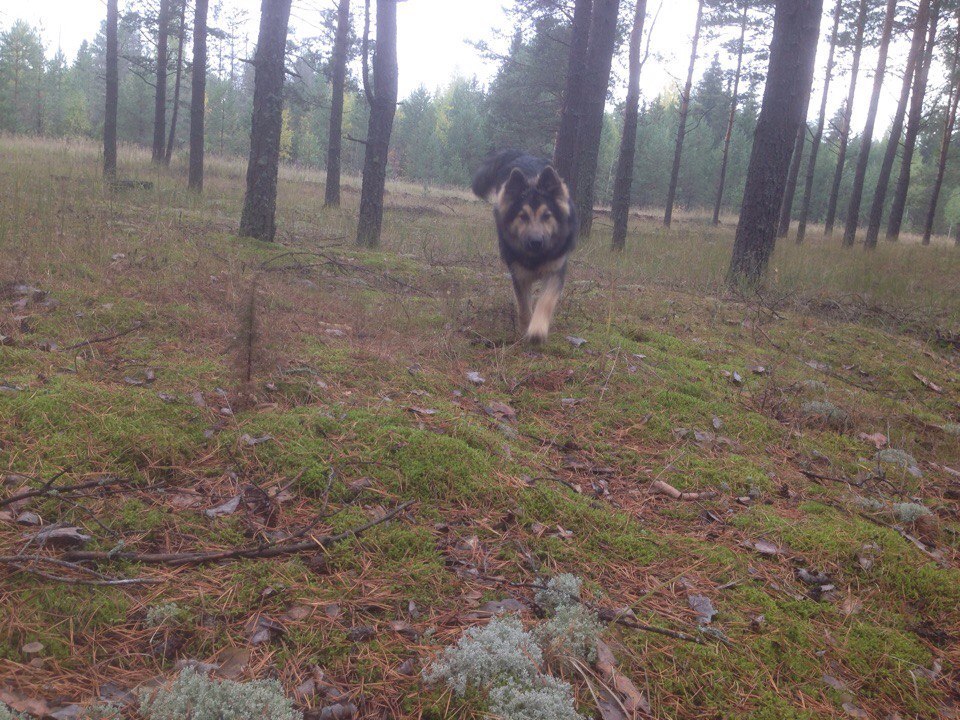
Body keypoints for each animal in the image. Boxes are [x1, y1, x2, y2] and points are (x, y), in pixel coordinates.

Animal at [472, 149, 576, 344]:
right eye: (523, 216)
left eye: (547, 215)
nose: (536, 242)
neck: (537, 257)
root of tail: (521, 153)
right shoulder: (519, 275)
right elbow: (524, 307)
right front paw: (525, 330)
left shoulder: (555, 270)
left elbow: (546, 301)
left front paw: (537, 331)